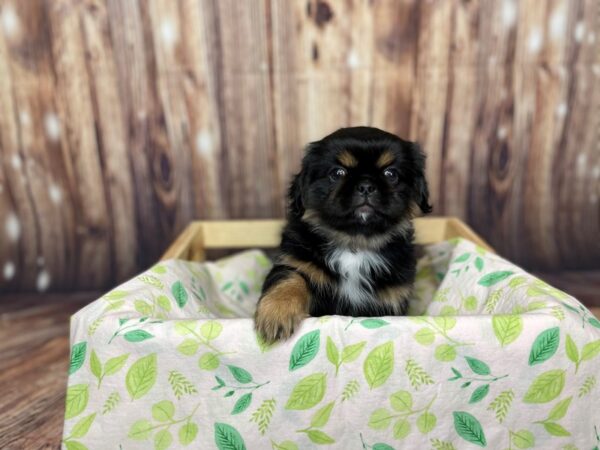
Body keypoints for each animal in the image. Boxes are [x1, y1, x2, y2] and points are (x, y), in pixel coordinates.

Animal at [253, 127, 432, 344]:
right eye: (337, 173)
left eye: (391, 174)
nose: (366, 186)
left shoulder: (390, 298)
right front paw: (277, 313)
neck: (354, 243)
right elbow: (290, 280)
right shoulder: (295, 262)